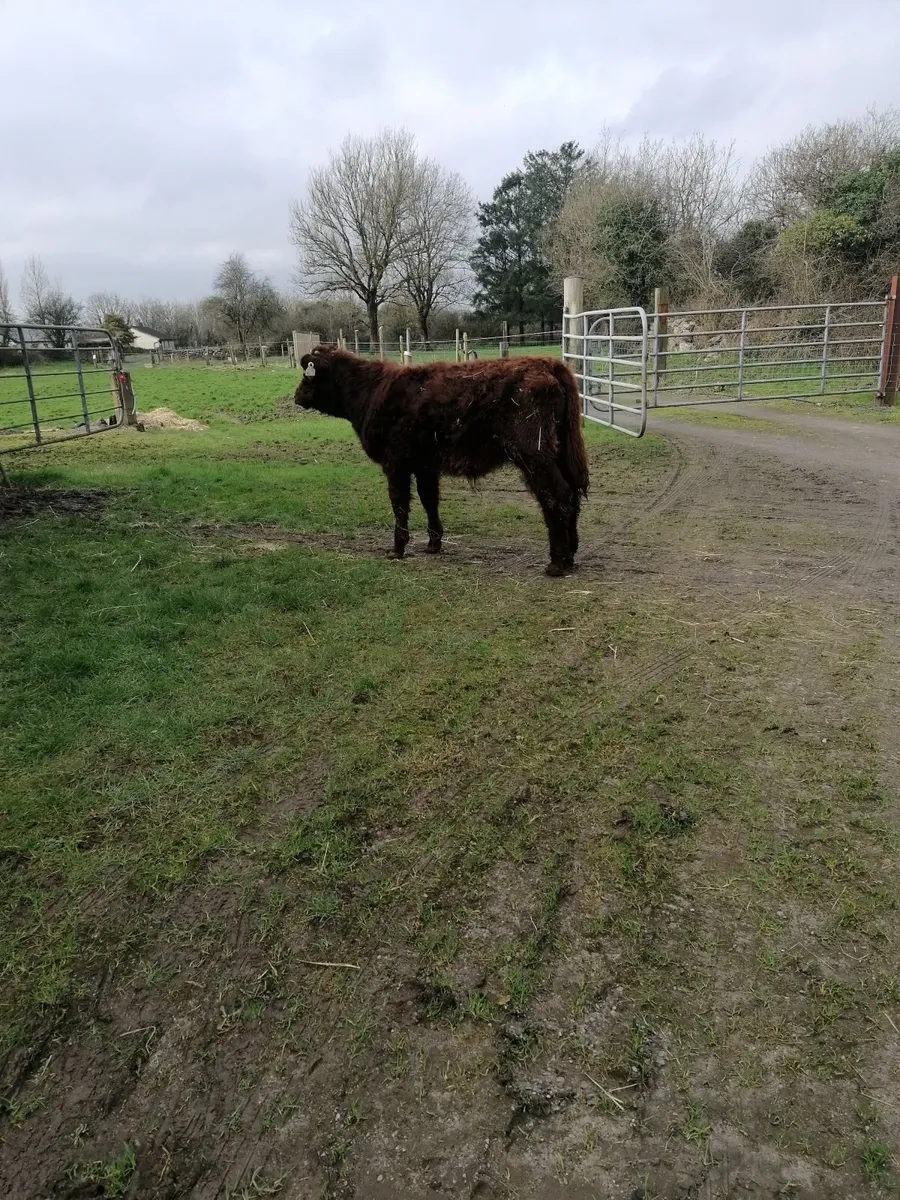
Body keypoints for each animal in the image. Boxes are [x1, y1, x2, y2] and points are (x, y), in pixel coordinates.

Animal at [293, 345, 590, 576]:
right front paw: (433, 543)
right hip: (558, 452)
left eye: (308, 376)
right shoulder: (425, 466)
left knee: (556, 495)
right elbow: (429, 500)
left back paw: (557, 562)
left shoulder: (396, 464)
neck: (372, 391)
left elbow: (399, 504)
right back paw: (571, 554)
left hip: (534, 455)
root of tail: (548, 363)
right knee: (572, 493)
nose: (296, 396)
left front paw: (397, 548)